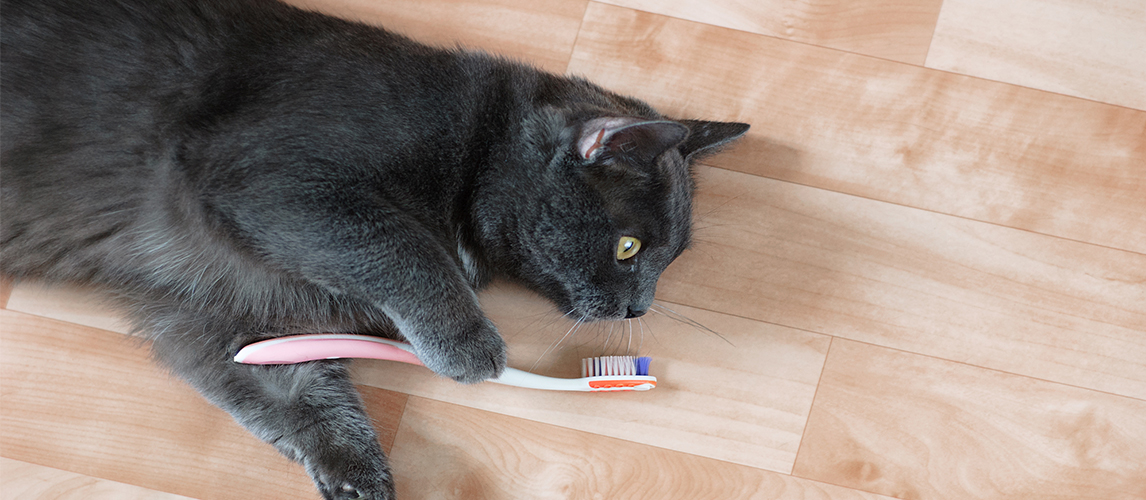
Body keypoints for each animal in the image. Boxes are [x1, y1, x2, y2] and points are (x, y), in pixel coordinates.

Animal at [0, 0, 751, 495]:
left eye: (669, 259)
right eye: (629, 247)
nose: (639, 308)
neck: (477, 146)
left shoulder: (218, 309)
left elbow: (289, 384)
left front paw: (361, 473)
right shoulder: (279, 183)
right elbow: (402, 248)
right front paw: (469, 345)